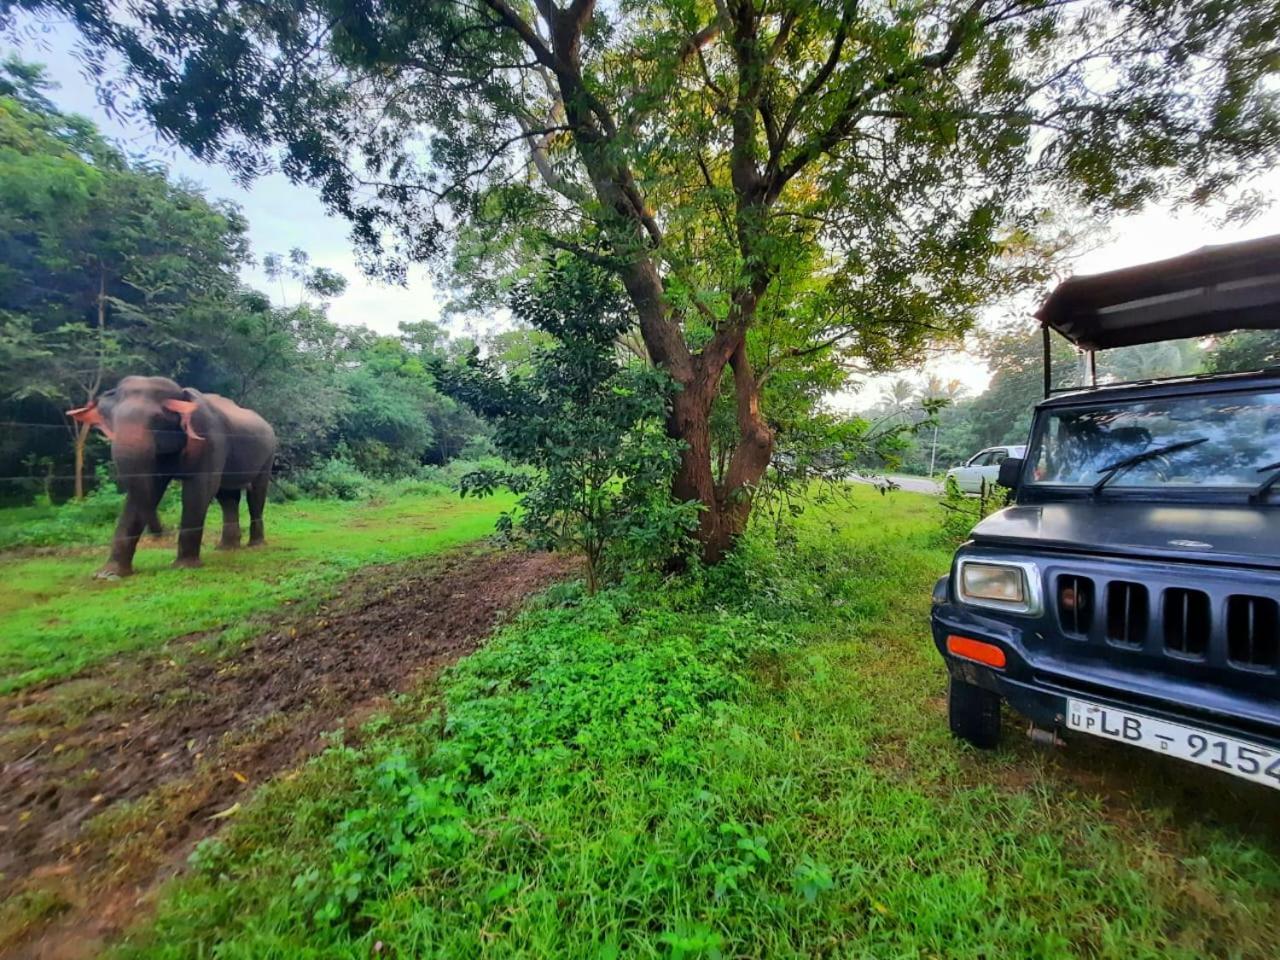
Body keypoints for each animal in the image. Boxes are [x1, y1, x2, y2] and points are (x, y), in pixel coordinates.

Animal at [67, 376, 277, 578]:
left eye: (158, 419)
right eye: (111, 422)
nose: (161, 531)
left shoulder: (210, 439)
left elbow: (199, 490)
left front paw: (184, 566)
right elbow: (147, 489)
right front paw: (106, 574)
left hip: (267, 455)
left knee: (256, 494)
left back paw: (255, 545)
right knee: (228, 497)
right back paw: (226, 547)